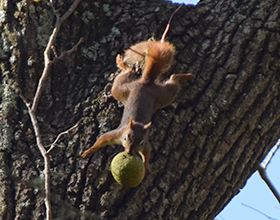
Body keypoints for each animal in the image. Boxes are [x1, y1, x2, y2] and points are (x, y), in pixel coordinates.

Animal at [82, 3, 194, 174]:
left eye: (140, 142)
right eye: (126, 138)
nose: (129, 152)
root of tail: (146, 83)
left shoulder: (146, 143)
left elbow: (148, 153)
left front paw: (146, 167)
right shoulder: (116, 134)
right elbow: (101, 139)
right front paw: (88, 151)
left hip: (162, 95)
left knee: (173, 78)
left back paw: (186, 76)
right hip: (122, 89)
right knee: (129, 73)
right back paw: (121, 63)